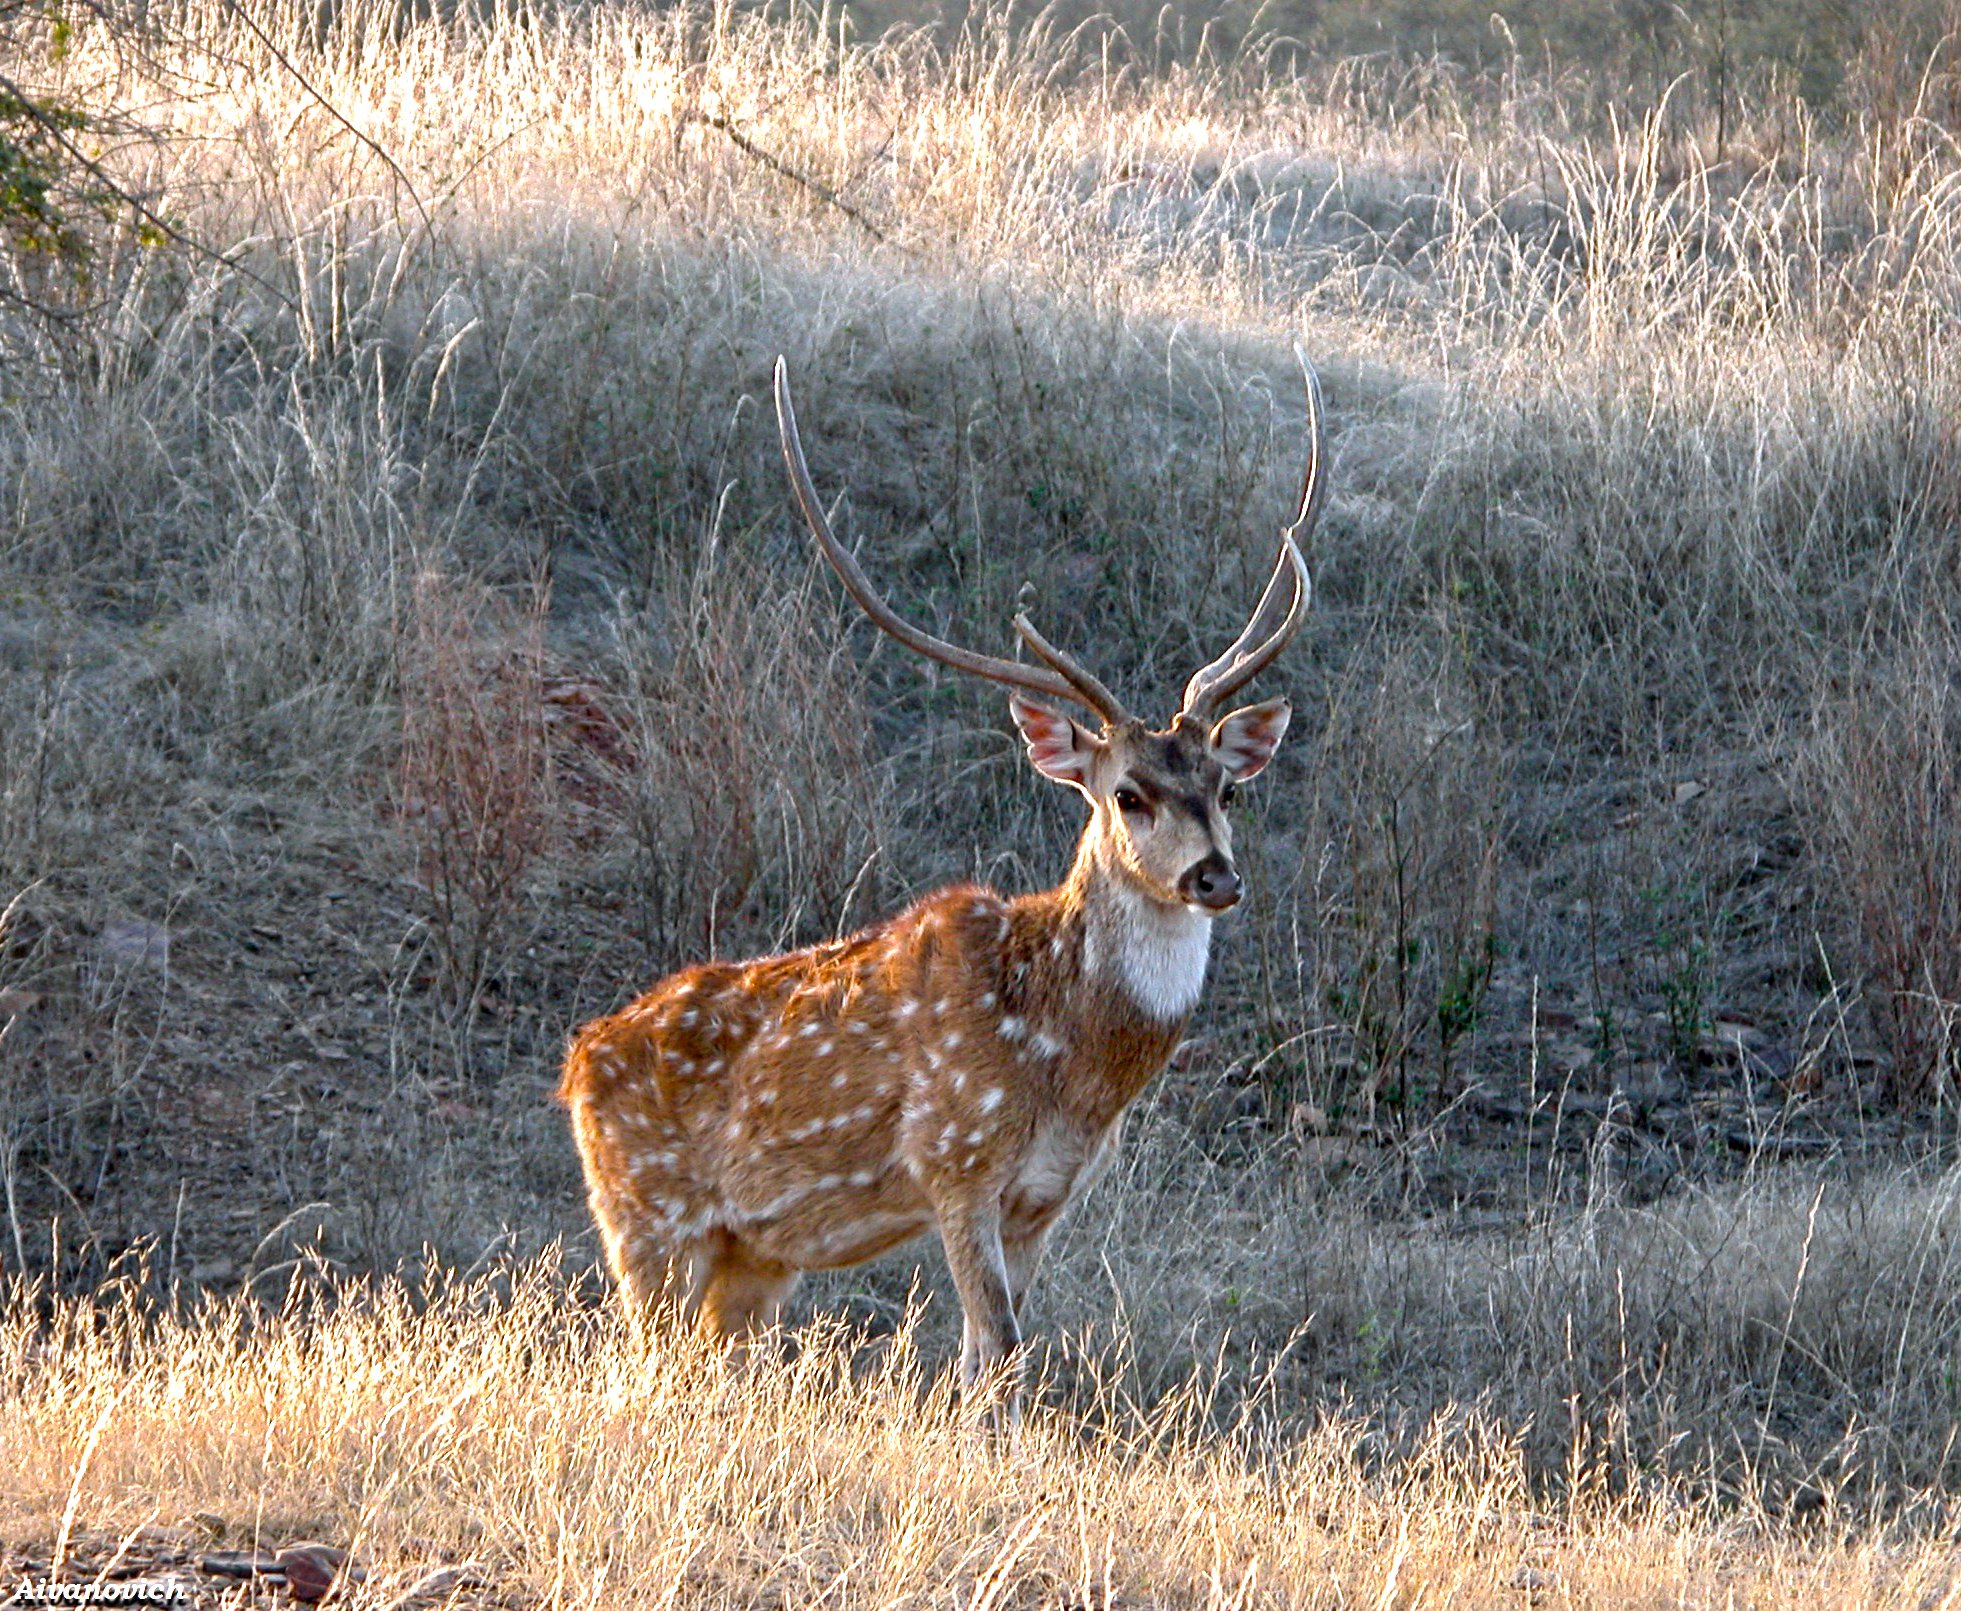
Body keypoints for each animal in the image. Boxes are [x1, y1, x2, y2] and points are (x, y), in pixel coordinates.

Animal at [560, 350, 1325, 1411]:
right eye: (1126, 793)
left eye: (1225, 786)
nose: (1214, 876)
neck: (1069, 1064)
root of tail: (575, 1063)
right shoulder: (953, 1160)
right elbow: (995, 1346)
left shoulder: (1045, 1195)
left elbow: (990, 1355)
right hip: (645, 1215)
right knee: (633, 1362)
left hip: (750, 1252)